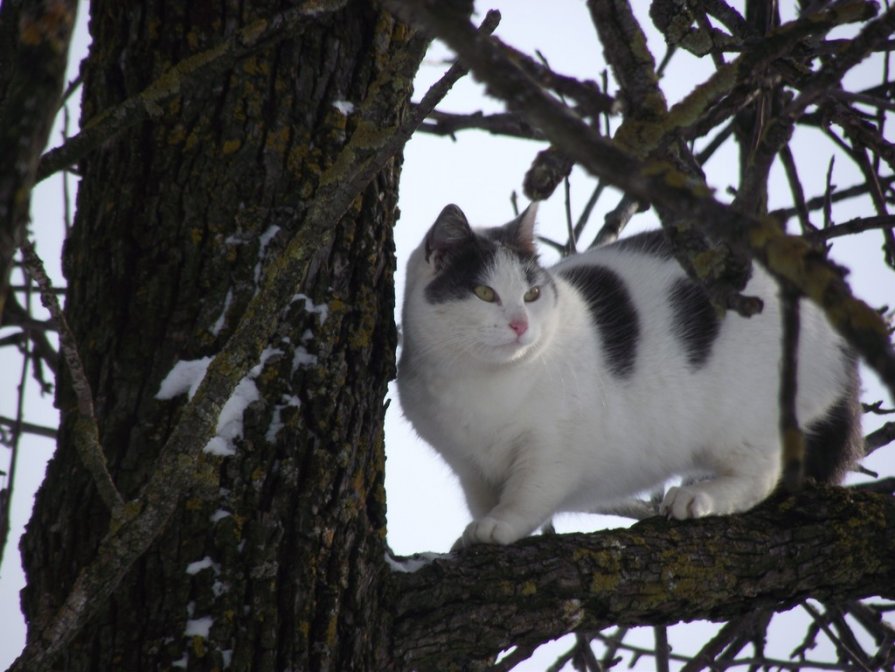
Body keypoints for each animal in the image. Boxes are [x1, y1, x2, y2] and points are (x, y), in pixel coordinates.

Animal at [398, 203, 860, 544]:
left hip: (748, 415)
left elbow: (527, 495)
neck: (480, 382)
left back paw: (696, 496)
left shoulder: (554, 450)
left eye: (531, 294)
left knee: (761, 475)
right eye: (484, 293)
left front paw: (499, 525)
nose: (520, 324)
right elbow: (481, 496)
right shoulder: (467, 465)